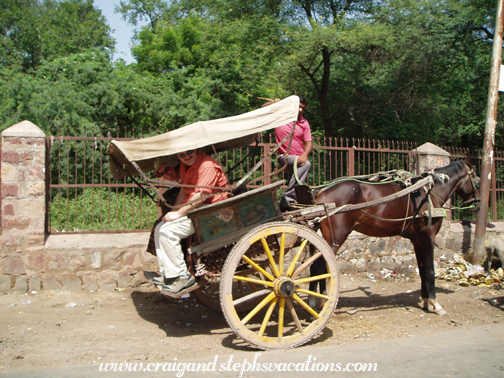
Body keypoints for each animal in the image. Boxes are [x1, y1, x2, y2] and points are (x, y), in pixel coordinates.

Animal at [316, 158, 480, 314]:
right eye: (478, 182)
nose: (477, 205)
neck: (428, 193)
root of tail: (322, 191)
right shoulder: (428, 237)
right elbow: (430, 270)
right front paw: (435, 303)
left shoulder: (417, 240)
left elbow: (422, 270)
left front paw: (426, 300)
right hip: (336, 238)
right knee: (323, 267)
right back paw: (323, 301)